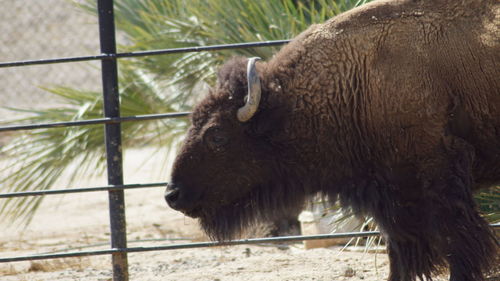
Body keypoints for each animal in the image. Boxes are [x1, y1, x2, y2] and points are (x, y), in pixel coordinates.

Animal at [163, 0, 496, 278]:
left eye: (217, 135)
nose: (172, 194)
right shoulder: (392, 204)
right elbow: (400, 258)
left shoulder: (439, 183)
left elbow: (460, 248)